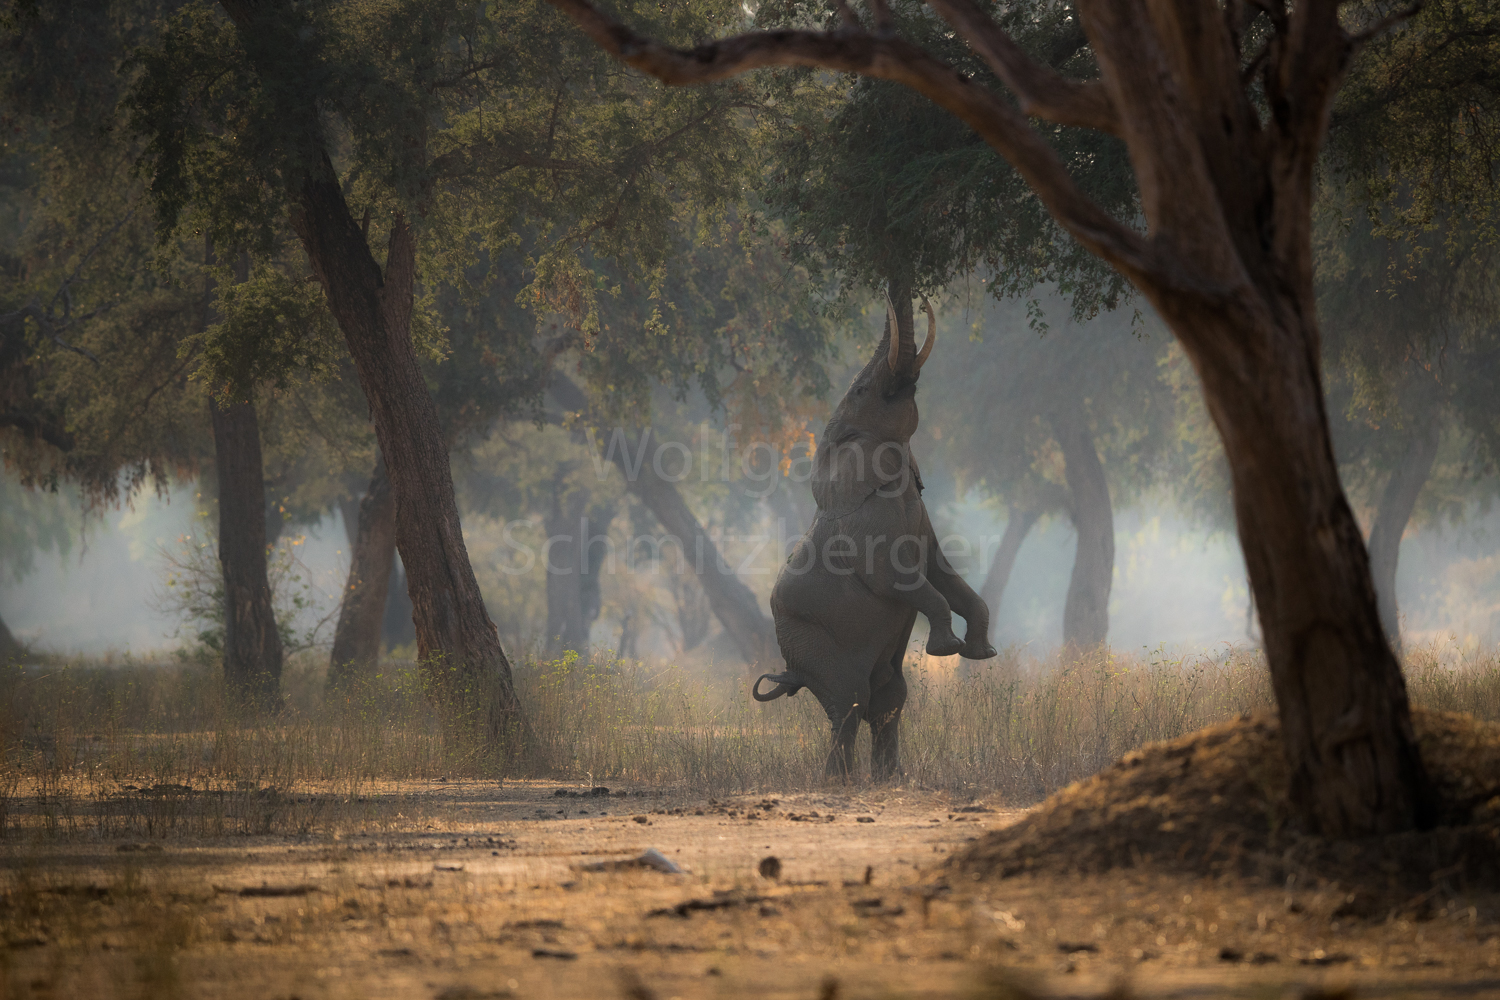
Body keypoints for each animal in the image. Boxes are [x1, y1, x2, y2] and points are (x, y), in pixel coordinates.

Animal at [756, 293, 1002, 779]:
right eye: (861, 391)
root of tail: (792, 671)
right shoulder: (865, 532)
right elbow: (899, 580)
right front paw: (947, 649)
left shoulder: (922, 520)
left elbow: (944, 575)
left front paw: (983, 653)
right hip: (810, 640)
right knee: (850, 700)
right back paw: (840, 782)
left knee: (889, 698)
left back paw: (890, 779)